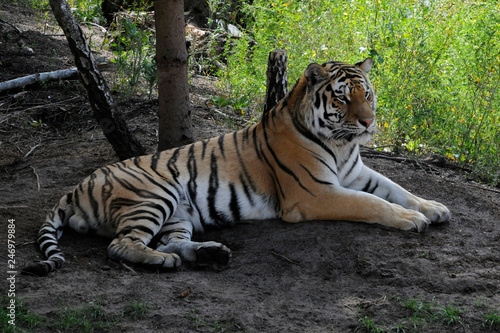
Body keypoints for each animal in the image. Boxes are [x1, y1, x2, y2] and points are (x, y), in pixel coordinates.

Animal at [21, 58, 452, 276]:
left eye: (368, 94)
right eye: (344, 98)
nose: (368, 122)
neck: (342, 144)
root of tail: (74, 188)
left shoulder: (357, 174)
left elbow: (398, 190)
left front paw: (434, 208)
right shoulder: (314, 193)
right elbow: (372, 204)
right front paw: (412, 220)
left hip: (178, 213)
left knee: (167, 241)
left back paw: (209, 254)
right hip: (154, 194)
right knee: (121, 245)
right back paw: (164, 263)